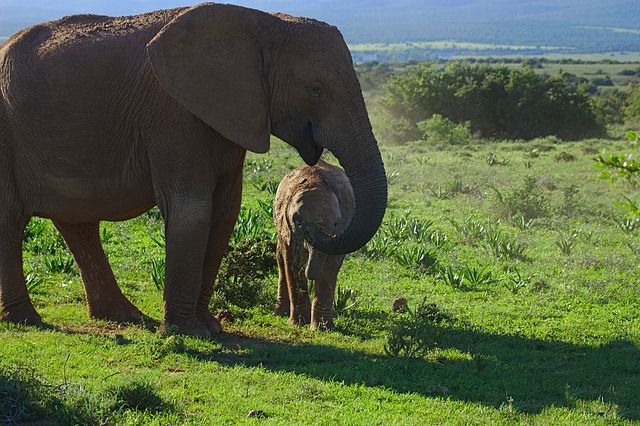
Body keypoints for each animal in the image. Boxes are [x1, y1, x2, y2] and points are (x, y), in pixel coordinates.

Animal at [274, 160, 356, 330]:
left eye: (336, 223)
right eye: (298, 220)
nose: (309, 273)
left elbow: (329, 269)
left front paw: (322, 328)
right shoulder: (288, 228)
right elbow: (292, 263)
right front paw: (298, 324)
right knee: (280, 259)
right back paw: (279, 313)